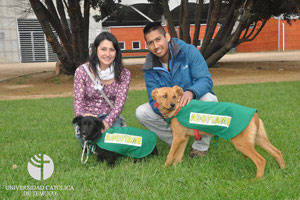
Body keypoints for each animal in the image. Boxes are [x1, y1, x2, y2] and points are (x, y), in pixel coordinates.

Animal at [152, 85, 286, 179]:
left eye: (174, 96)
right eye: (164, 96)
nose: (172, 105)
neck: (179, 108)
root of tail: (254, 114)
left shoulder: (178, 138)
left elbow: (170, 155)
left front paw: (165, 168)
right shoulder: (183, 138)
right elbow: (178, 156)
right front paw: (175, 169)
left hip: (242, 143)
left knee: (261, 160)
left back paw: (257, 180)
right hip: (259, 139)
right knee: (277, 152)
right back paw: (283, 171)